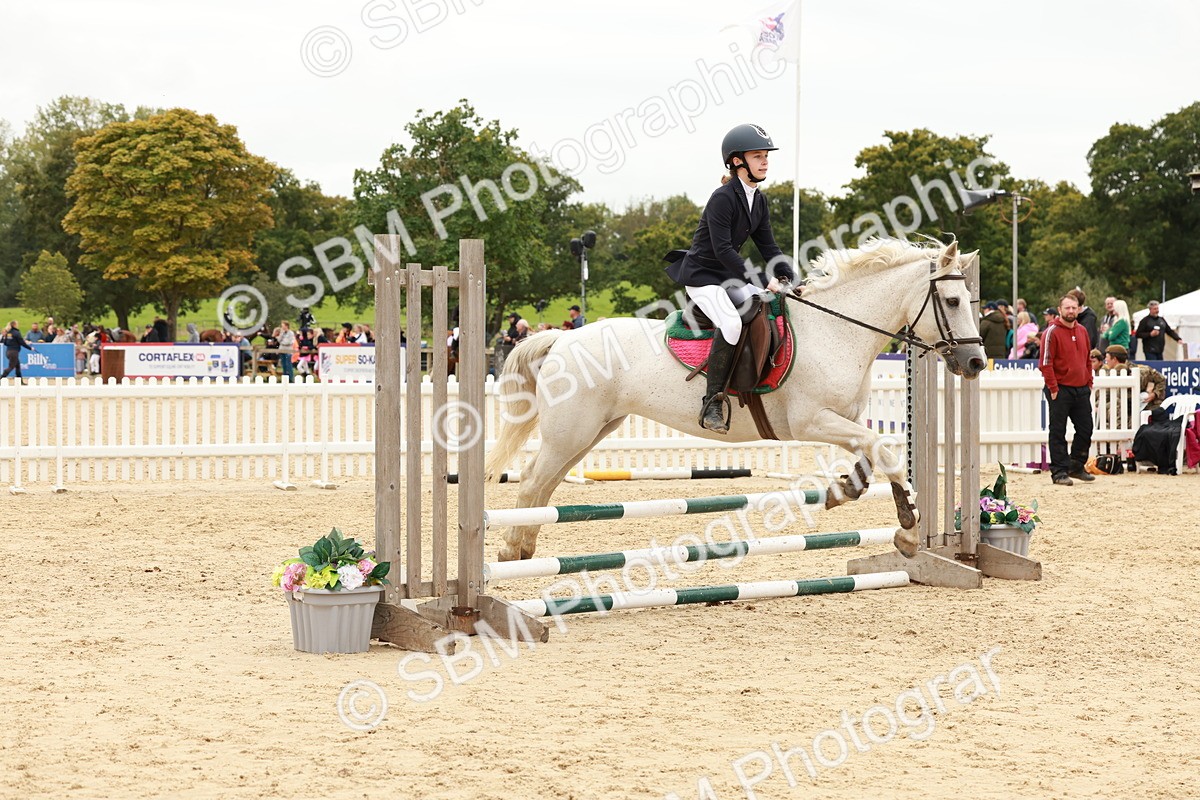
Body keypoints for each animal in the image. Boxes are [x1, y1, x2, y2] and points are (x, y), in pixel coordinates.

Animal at [484, 239, 988, 562]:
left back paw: (525, 546)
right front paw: (907, 531)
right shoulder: (812, 421)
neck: (837, 330)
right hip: (572, 432)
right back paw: (510, 550)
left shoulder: (846, 419)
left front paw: (844, 492)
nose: (976, 362)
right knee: (532, 483)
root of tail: (561, 338)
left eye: (971, 300)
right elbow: (884, 449)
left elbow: (874, 456)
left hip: (589, 432)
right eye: (951, 300)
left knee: (544, 486)